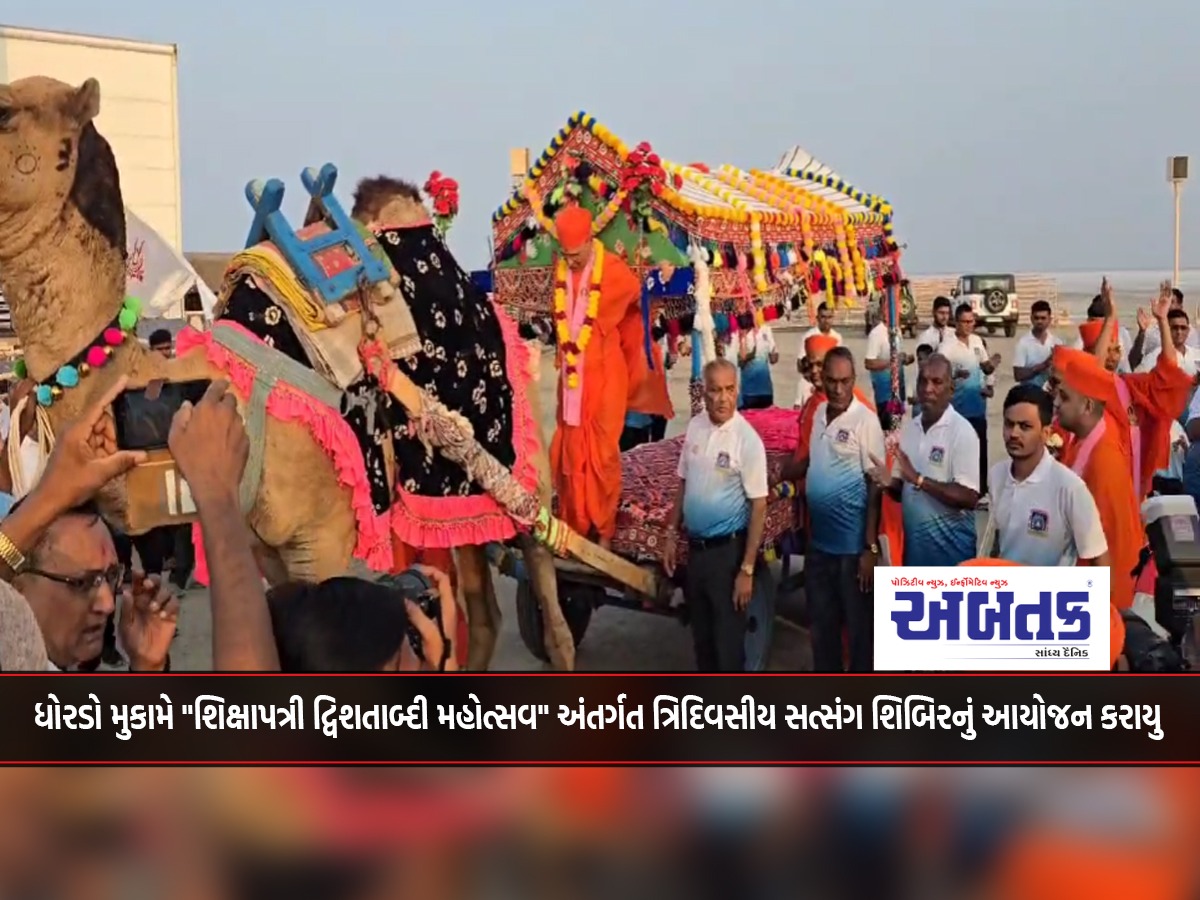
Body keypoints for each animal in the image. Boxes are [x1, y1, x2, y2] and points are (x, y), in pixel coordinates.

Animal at [0, 75, 638, 672]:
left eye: (6, 112)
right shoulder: (266, 546)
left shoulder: (325, 536)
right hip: (451, 493)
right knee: (482, 608)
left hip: (522, 467)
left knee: (549, 596)